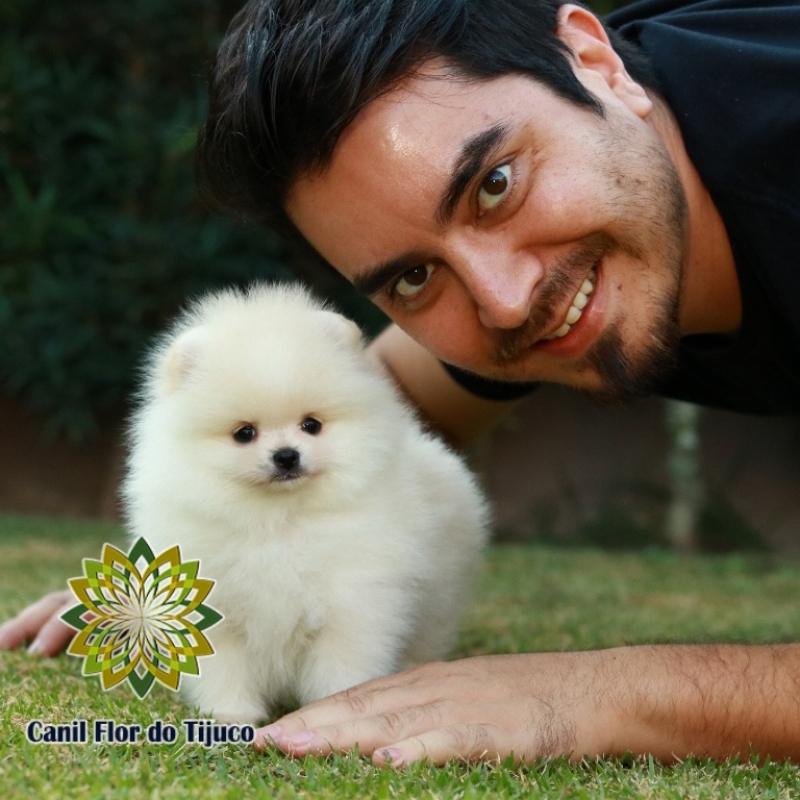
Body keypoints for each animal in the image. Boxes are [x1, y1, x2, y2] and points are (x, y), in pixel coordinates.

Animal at [123, 282, 488, 724]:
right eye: (244, 433)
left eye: (311, 425)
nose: (286, 456)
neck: (278, 521)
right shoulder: (215, 610)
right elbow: (225, 669)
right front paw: (231, 715)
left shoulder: (354, 602)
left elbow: (343, 664)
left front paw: (338, 707)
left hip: (440, 600)